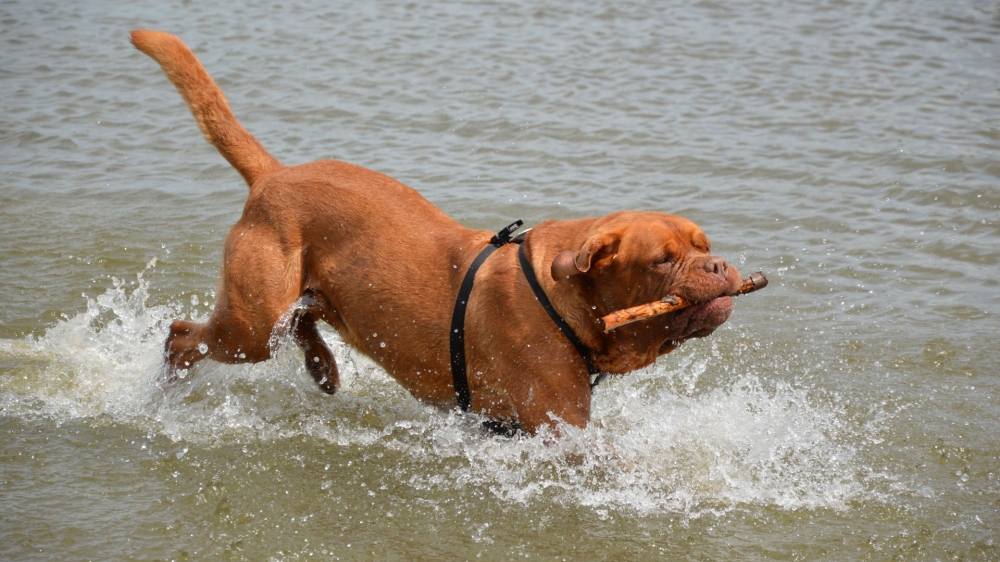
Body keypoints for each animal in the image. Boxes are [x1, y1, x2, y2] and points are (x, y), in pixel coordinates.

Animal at [131, 30, 744, 434]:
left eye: (706, 248)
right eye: (662, 260)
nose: (719, 267)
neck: (565, 296)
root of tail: (273, 175)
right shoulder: (560, 431)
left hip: (297, 305)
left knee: (302, 318)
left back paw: (322, 367)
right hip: (250, 325)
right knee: (181, 335)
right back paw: (160, 396)